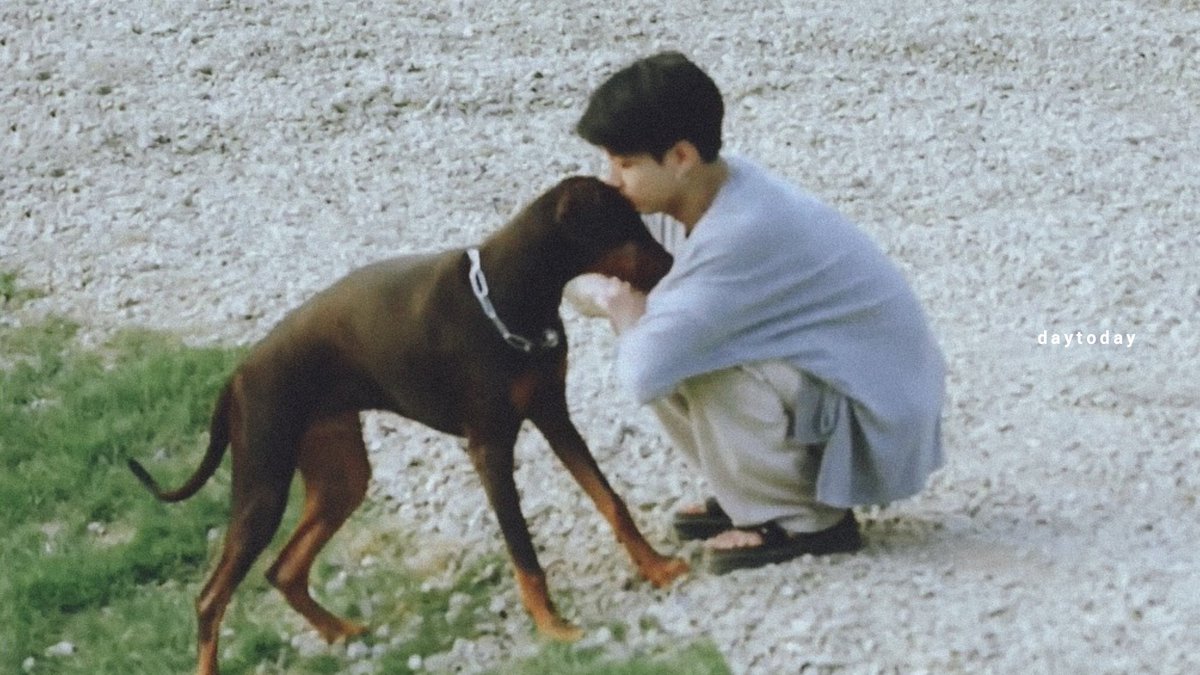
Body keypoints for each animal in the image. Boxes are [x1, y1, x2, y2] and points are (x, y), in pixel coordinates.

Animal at [126, 176, 691, 667]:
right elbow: (523, 550)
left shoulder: (554, 414)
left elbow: (611, 501)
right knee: (210, 598)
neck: (507, 295)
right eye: (627, 226)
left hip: (342, 477)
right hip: (263, 488)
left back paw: (340, 630)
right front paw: (553, 627)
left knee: (282, 570)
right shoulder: (490, 447)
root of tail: (237, 377)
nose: (674, 263)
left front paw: (658, 567)